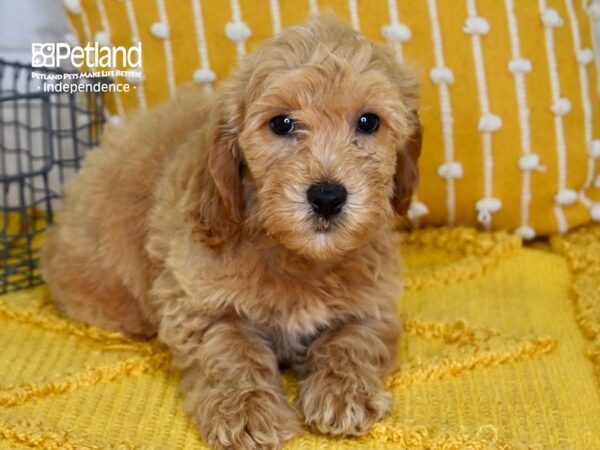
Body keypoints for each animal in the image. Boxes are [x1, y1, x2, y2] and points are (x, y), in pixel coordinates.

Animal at [41, 15, 422, 448]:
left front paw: (344, 393)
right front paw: (246, 412)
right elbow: (230, 350)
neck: (296, 256)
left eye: (368, 121)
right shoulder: (195, 301)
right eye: (282, 124)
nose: (327, 197)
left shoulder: (373, 304)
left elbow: (353, 340)